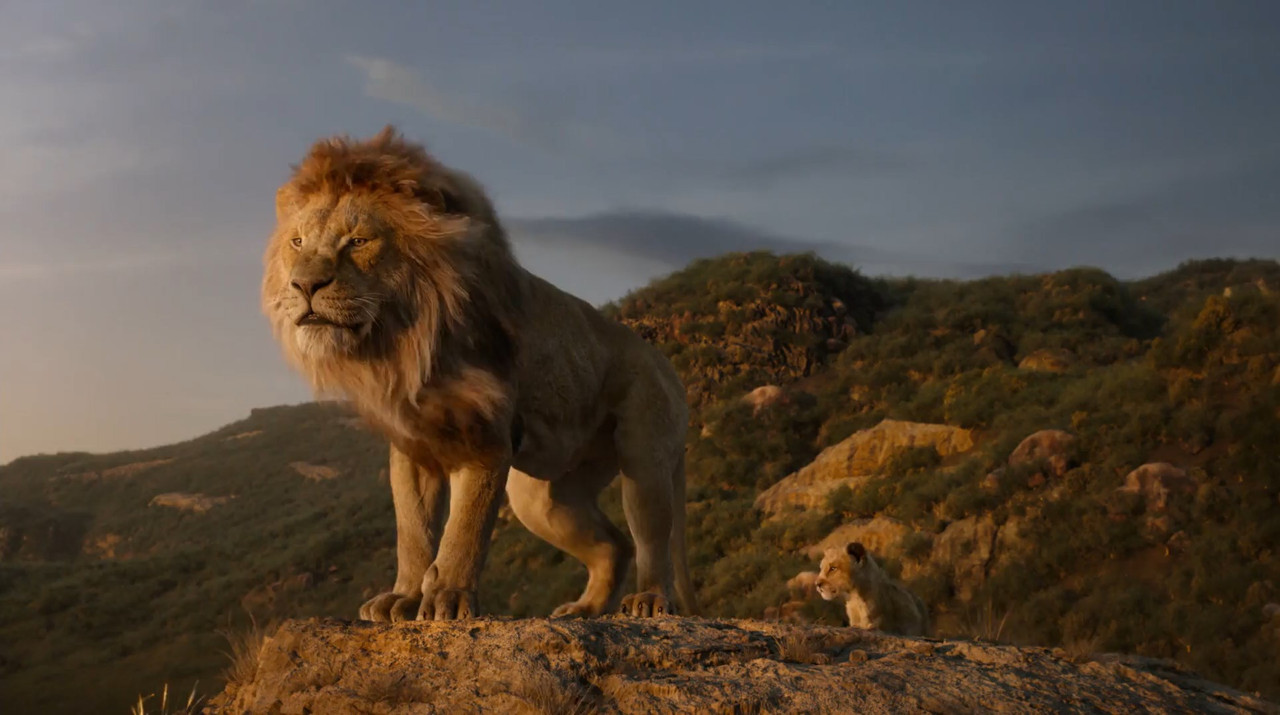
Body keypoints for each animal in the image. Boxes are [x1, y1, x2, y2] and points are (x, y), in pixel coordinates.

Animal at [261, 126, 697, 621]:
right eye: (297, 243)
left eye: (357, 241)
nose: (303, 285)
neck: (400, 343)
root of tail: (662, 360)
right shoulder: (412, 448)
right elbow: (413, 532)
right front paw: (404, 597)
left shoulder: (484, 438)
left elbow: (465, 527)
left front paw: (448, 597)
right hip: (542, 499)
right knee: (614, 545)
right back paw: (583, 609)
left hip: (644, 453)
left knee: (649, 535)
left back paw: (650, 600)